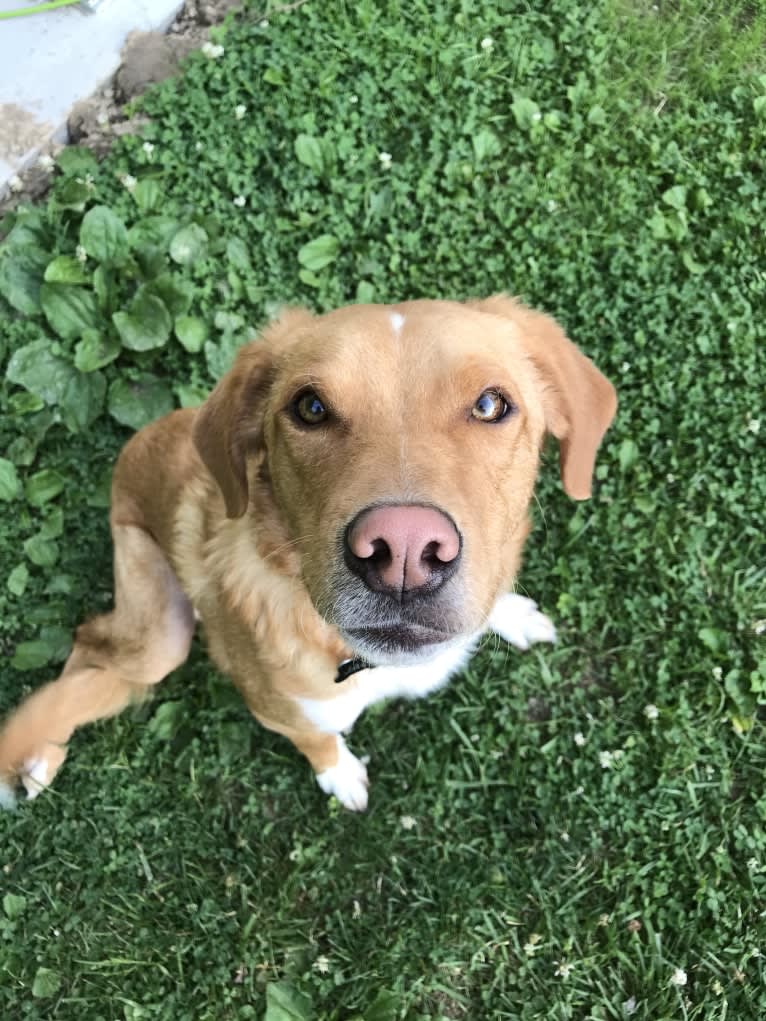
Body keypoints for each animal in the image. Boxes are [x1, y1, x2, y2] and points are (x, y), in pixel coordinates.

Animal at [0, 298, 616, 812]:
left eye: (490, 404)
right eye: (311, 407)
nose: (404, 550)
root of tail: (135, 442)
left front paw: (511, 613)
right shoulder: (283, 714)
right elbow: (319, 742)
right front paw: (340, 775)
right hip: (159, 631)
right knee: (88, 642)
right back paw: (35, 756)